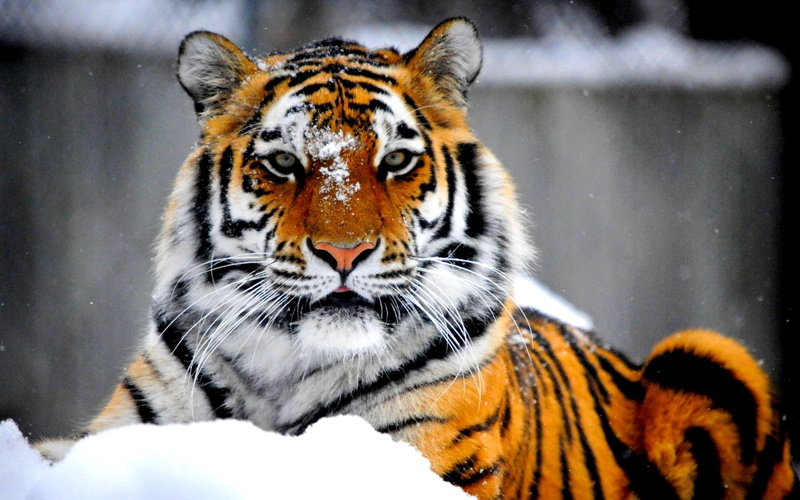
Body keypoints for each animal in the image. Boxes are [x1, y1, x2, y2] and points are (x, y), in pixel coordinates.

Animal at [36, 17, 797, 499]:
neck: (284, 372)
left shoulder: (428, 458)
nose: (343, 252)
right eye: (283, 164)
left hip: (709, 357)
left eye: (396, 161)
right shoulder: (121, 432)